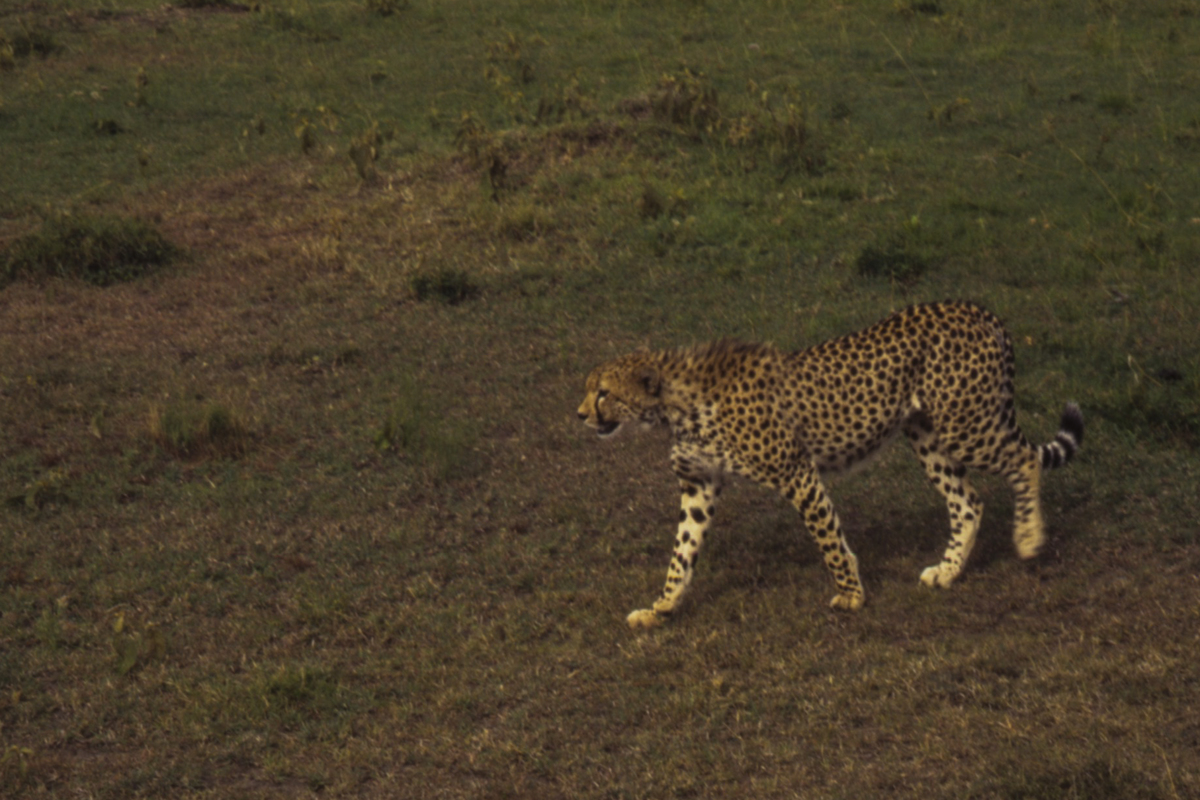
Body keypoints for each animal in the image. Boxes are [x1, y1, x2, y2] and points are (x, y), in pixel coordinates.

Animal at [577, 300, 1084, 629]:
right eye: (590, 389)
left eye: (603, 393)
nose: (580, 414)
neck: (674, 404)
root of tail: (980, 310)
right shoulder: (700, 485)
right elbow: (682, 554)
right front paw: (660, 608)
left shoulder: (797, 473)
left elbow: (828, 538)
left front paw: (851, 594)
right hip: (928, 436)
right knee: (968, 503)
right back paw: (948, 571)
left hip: (967, 425)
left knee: (1024, 461)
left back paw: (1029, 538)